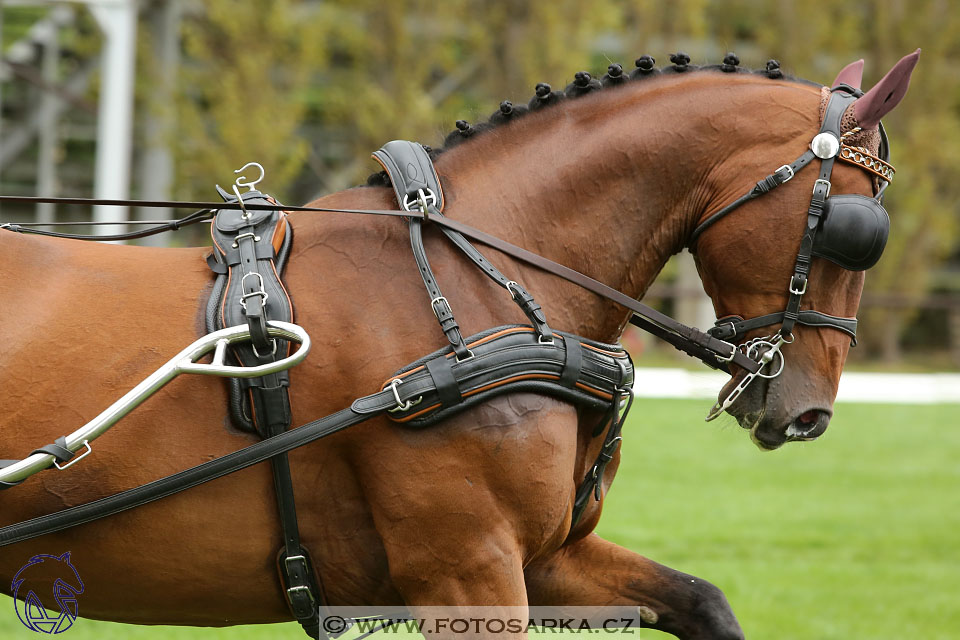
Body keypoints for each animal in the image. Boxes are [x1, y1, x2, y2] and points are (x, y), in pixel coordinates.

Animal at [0, 51, 916, 640]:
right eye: (855, 231)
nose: (807, 412)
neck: (477, 281)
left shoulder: (541, 557)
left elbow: (702, 600)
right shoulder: (467, 569)